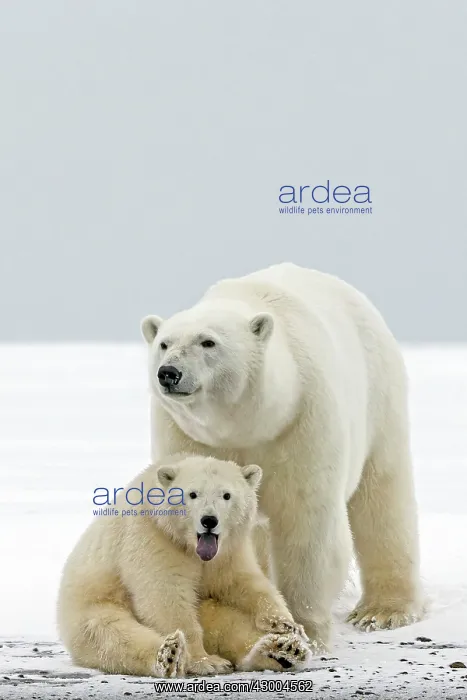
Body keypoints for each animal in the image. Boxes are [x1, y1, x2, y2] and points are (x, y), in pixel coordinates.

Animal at [57, 453, 312, 677]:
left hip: (206, 606)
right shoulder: (152, 537)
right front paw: (204, 662)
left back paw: (283, 650)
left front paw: (287, 624)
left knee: (228, 622)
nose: (209, 520)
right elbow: (165, 596)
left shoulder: (229, 550)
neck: (192, 548)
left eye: (226, 495)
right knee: (113, 635)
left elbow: (243, 581)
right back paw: (169, 655)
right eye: (192, 494)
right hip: (93, 607)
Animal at [141, 262, 424, 651]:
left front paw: (304, 631)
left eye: (208, 341)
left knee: (382, 500)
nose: (169, 373)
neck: (247, 426)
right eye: (164, 343)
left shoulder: (303, 419)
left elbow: (307, 523)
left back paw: (383, 611)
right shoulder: (185, 434)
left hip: (380, 397)